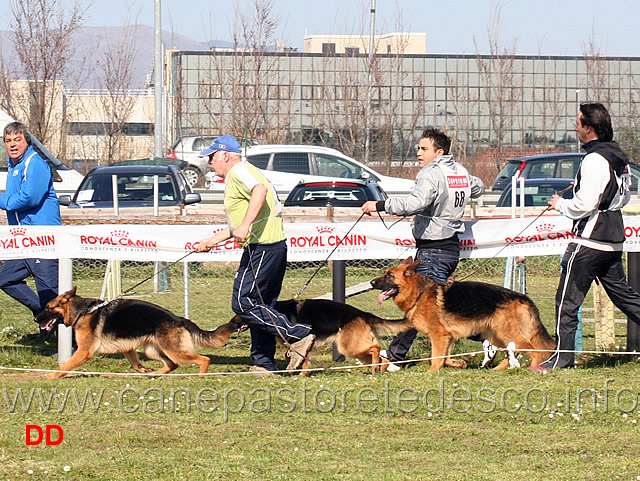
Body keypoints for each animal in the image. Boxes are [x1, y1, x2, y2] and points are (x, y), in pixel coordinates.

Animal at [37, 286, 242, 376]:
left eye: (48, 307)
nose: (36, 319)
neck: (83, 311)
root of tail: (178, 318)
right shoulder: (127, 347)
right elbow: (135, 363)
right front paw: (142, 369)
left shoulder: (84, 352)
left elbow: (65, 366)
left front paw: (51, 375)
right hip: (153, 350)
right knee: (172, 365)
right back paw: (154, 374)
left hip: (173, 350)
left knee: (203, 359)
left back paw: (200, 376)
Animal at [272, 298, 412, 374]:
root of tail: (364, 314)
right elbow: (298, 358)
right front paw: (301, 373)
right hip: (358, 351)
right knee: (383, 360)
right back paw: (377, 371)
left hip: (349, 348)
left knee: (376, 348)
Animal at [370, 256, 556, 370]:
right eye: (384, 273)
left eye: (389, 276)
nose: (371, 282)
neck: (420, 293)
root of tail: (523, 297)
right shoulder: (448, 337)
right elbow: (444, 357)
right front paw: (458, 363)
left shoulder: (439, 335)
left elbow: (435, 358)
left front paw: (431, 372)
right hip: (498, 335)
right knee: (513, 352)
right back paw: (496, 369)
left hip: (508, 333)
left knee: (536, 351)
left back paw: (533, 368)